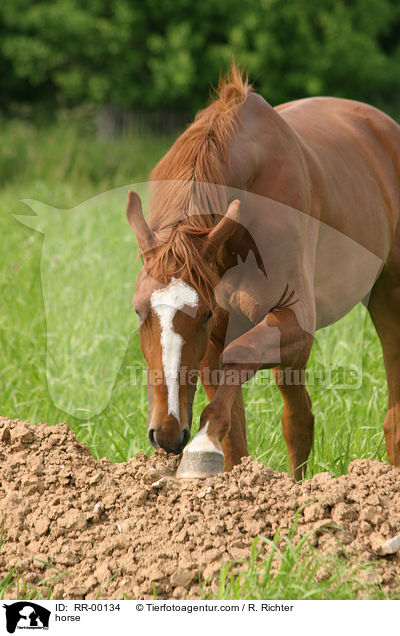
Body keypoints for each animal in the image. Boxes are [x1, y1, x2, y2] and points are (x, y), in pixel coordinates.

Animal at [126, 67, 400, 480]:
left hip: (388, 295)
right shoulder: (218, 340)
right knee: (299, 417)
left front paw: (201, 447)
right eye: (139, 311)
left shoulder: (294, 322)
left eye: (203, 313)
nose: (168, 435)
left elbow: (239, 355)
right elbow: (236, 433)